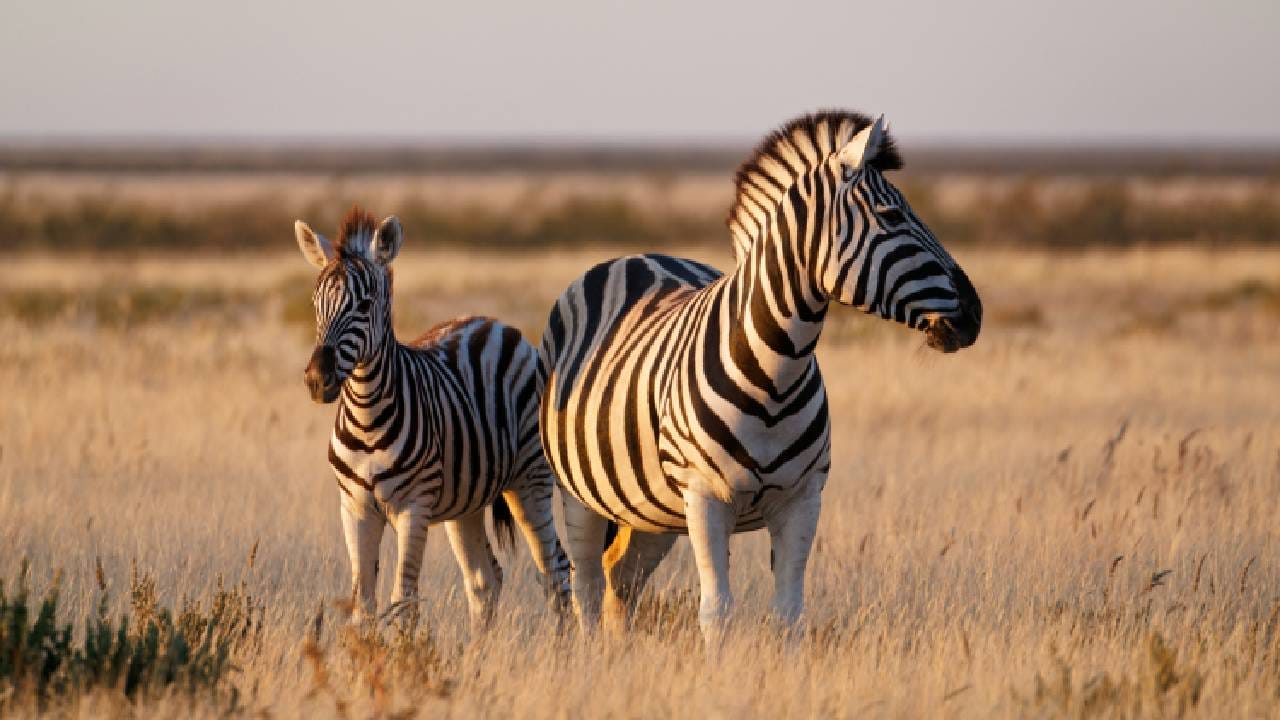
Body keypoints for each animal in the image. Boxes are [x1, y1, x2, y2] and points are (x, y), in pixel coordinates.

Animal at [295, 206, 571, 629]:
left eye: (364, 304)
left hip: (531, 480)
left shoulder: (414, 505)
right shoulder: (354, 507)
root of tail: (494, 323)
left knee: (554, 569)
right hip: (468, 500)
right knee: (484, 579)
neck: (366, 415)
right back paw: (479, 649)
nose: (317, 379)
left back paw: (568, 643)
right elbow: (364, 604)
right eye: (315, 304)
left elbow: (403, 600)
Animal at [539, 111, 982, 643]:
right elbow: (716, 610)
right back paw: (592, 655)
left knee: (621, 580)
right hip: (580, 493)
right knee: (585, 583)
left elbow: (790, 611)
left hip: (652, 510)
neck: (775, 375)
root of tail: (636, 256)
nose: (975, 313)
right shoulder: (706, 498)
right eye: (892, 216)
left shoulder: (802, 498)